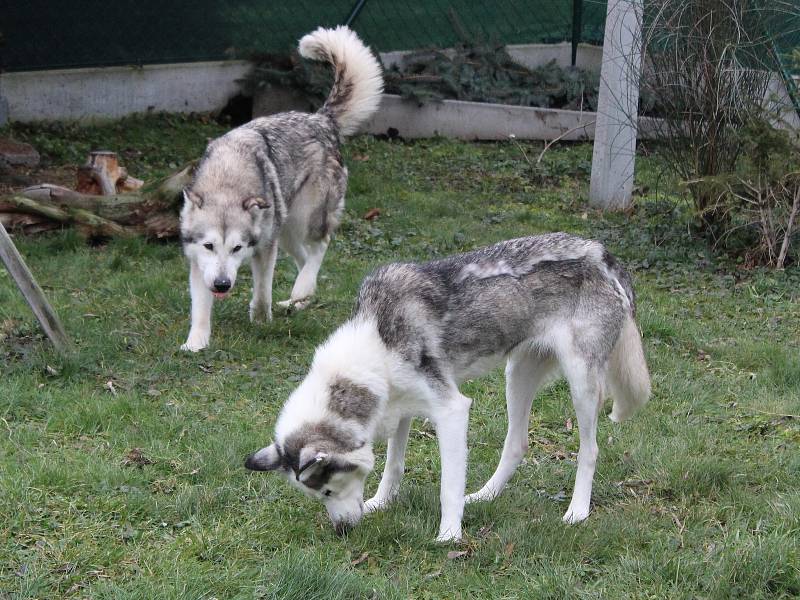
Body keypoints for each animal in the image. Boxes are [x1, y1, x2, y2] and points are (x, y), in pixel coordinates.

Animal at [181, 25, 384, 352]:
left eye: (237, 248)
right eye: (209, 246)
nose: (223, 285)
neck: (227, 179)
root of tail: (321, 118)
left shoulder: (265, 249)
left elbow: (263, 292)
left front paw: (262, 321)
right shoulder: (199, 264)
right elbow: (200, 308)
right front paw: (196, 342)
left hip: (303, 218)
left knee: (321, 246)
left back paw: (300, 290)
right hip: (287, 231)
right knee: (304, 259)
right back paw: (299, 299)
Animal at [245, 234, 648, 544]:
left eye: (328, 490)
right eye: (317, 496)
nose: (342, 531)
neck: (375, 343)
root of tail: (602, 253)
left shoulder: (452, 411)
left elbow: (448, 486)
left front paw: (449, 536)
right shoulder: (400, 409)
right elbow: (393, 466)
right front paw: (381, 503)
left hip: (581, 384)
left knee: (589, 450)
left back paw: (577, 511)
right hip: (517, 375)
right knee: (517, 444)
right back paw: (485, 496)